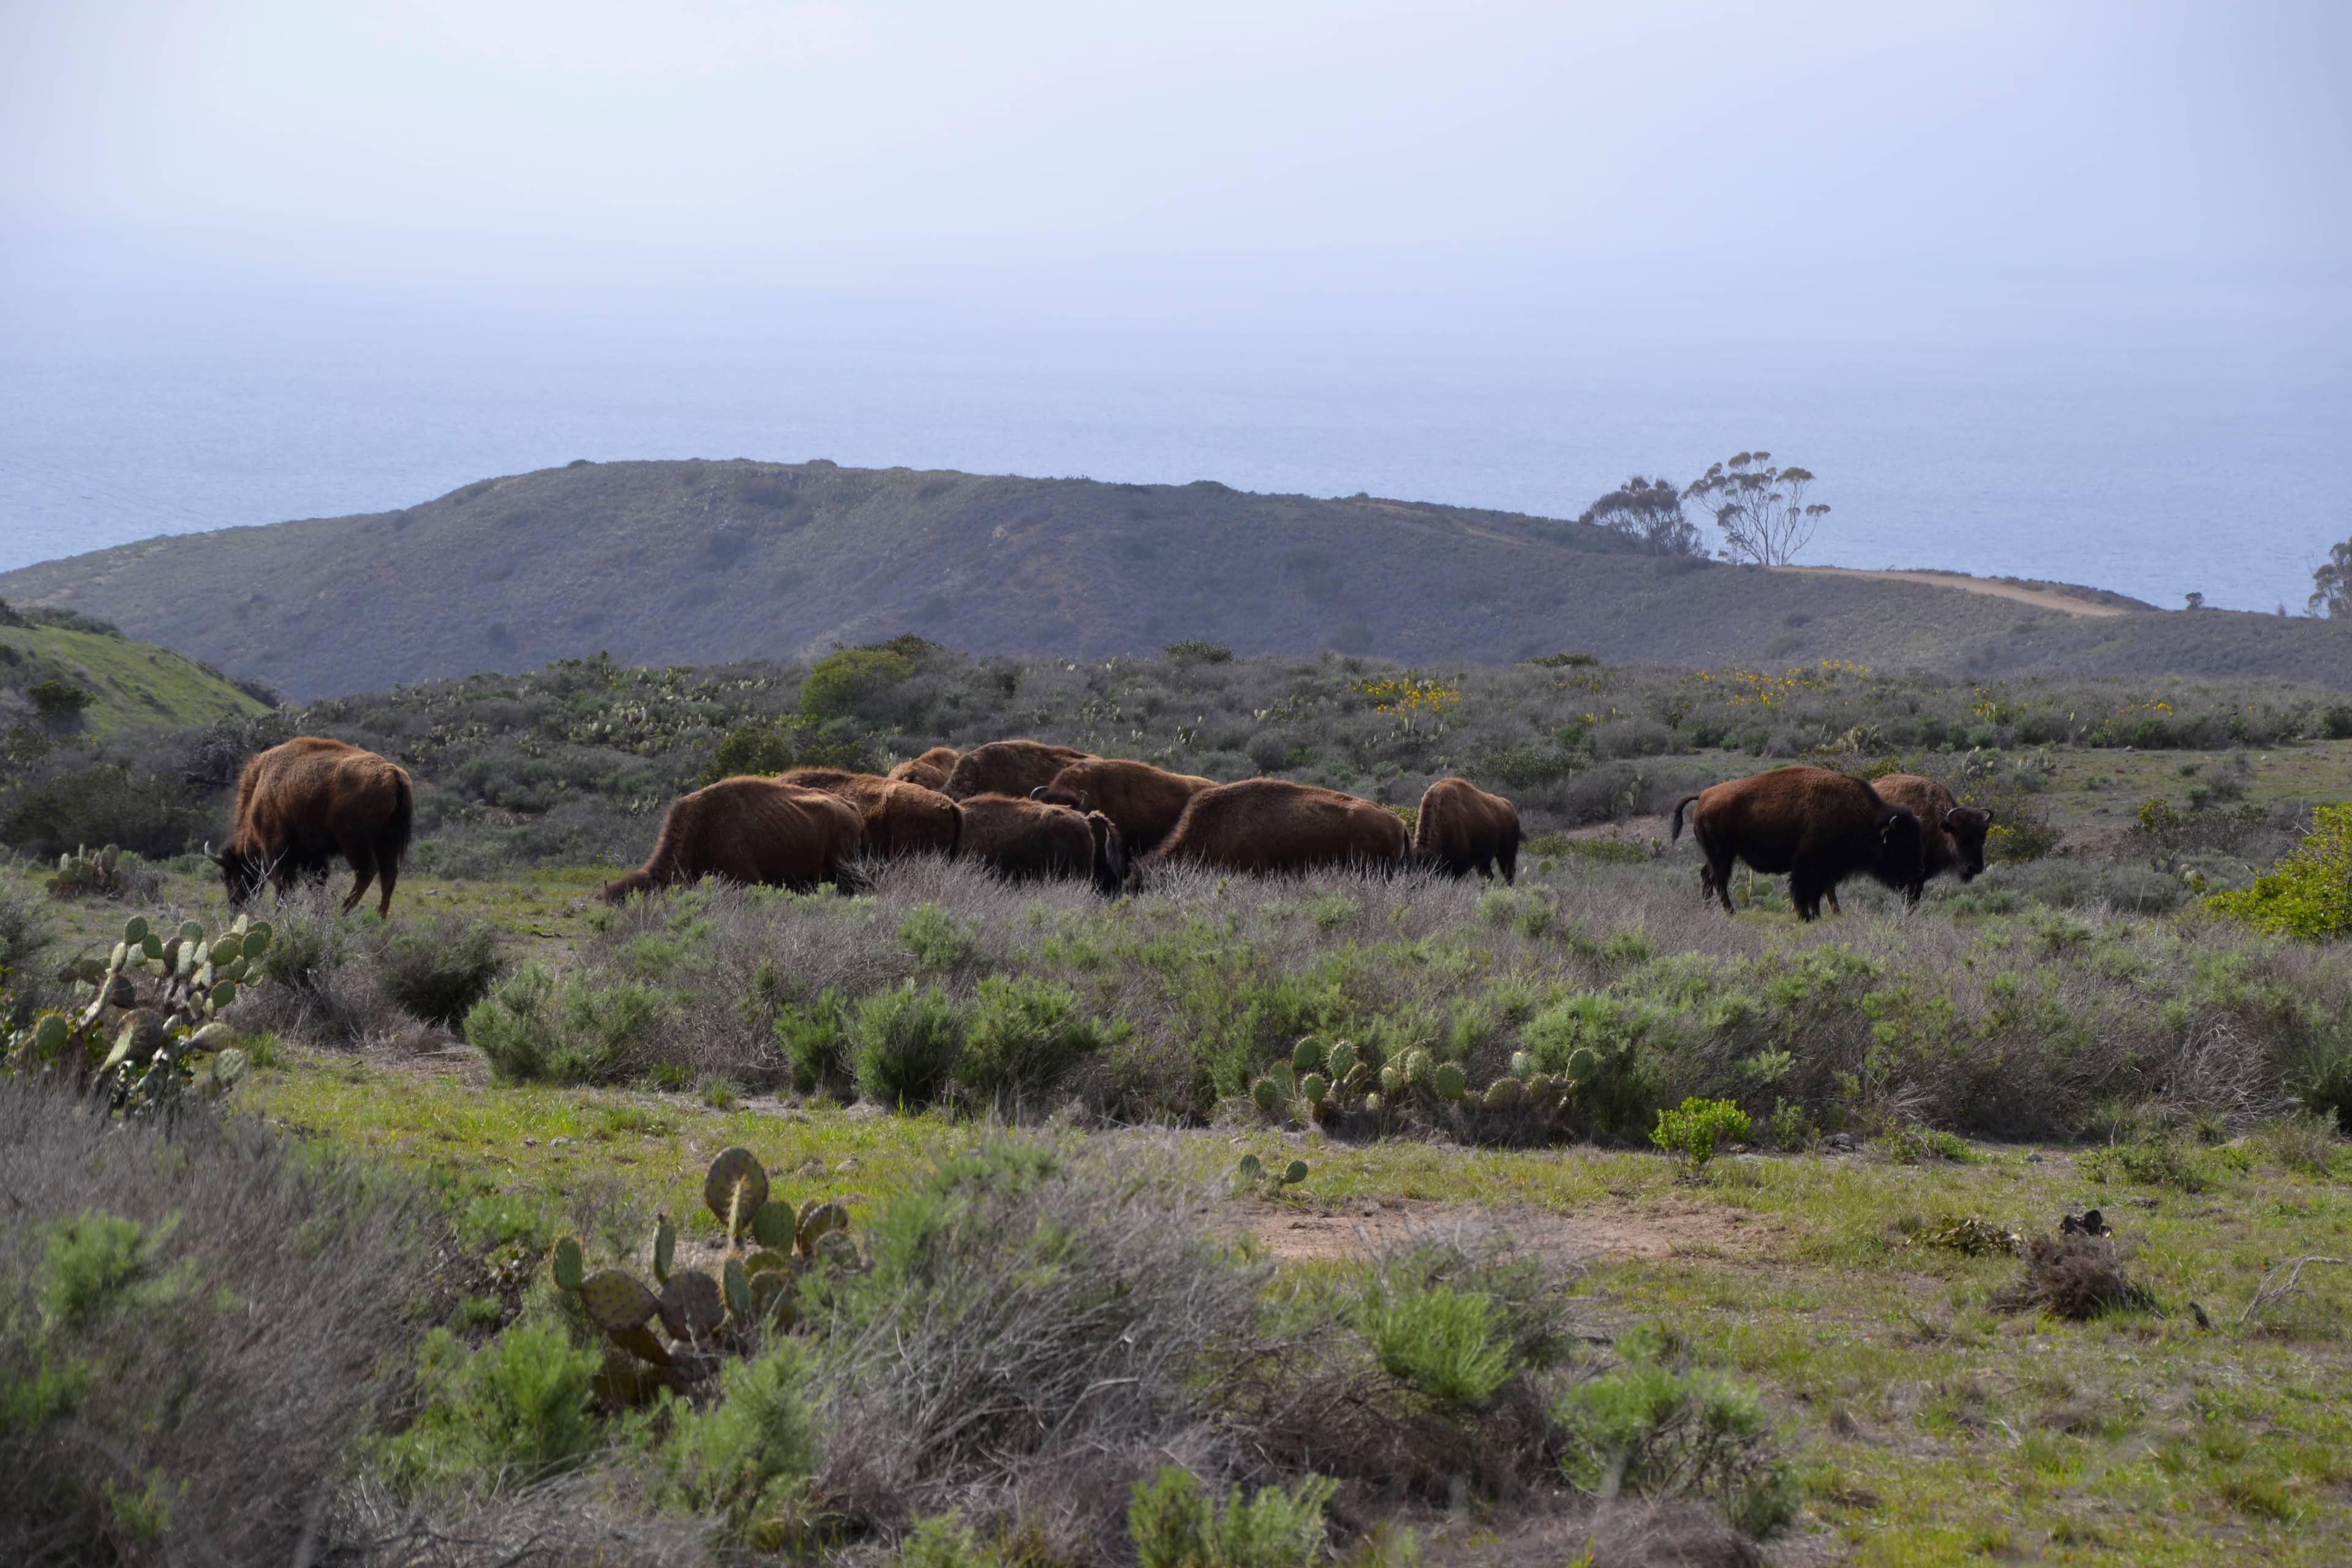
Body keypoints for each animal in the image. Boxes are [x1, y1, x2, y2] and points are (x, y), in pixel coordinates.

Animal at [212, 736, 414, 917]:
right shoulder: (313, 855)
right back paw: (380, 918)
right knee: (388, 875)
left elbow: (283, 885)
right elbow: (316, 884)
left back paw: (344, 912)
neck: (259, 786)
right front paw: (318, 913)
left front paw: (279, 916)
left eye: (227, 875)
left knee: (367, 872)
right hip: (387, 841)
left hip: (354, 842)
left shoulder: (276, 848)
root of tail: (392, 772)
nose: (236, 910)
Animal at [1413, 776, 1521, 882]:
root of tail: (1510, 808)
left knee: (1509, 873)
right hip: (1485, 860)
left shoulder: (1460, 867)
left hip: (1506, 853)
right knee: (1489, 876)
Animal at [1669, 766, 1922, 920]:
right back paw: (1731, 912)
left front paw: (1815, 916)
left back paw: (1709, 908)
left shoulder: (1825, 870)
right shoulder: (1806, 864)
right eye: (1901, 845)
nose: (1919, 871)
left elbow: (1817, 893)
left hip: (1716, 854)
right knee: (1718, 880)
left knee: (1706, 875)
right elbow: (1803, 891)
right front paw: (1805, 916)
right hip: (1723, 854)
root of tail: (1703, 795)